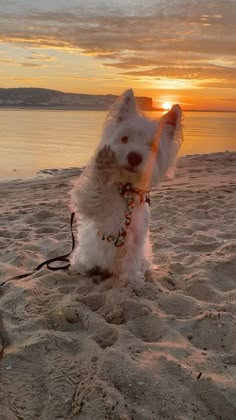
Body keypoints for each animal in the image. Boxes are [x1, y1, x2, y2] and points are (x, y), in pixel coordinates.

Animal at [70, 88, 183, 286]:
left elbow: (132, 257)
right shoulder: (93, 204)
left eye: (152, 146)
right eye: (124, 139)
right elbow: (94, 191)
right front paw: (104, 163)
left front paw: (132, 281)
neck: (126, 192)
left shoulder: (137, 234)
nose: (134, 157)